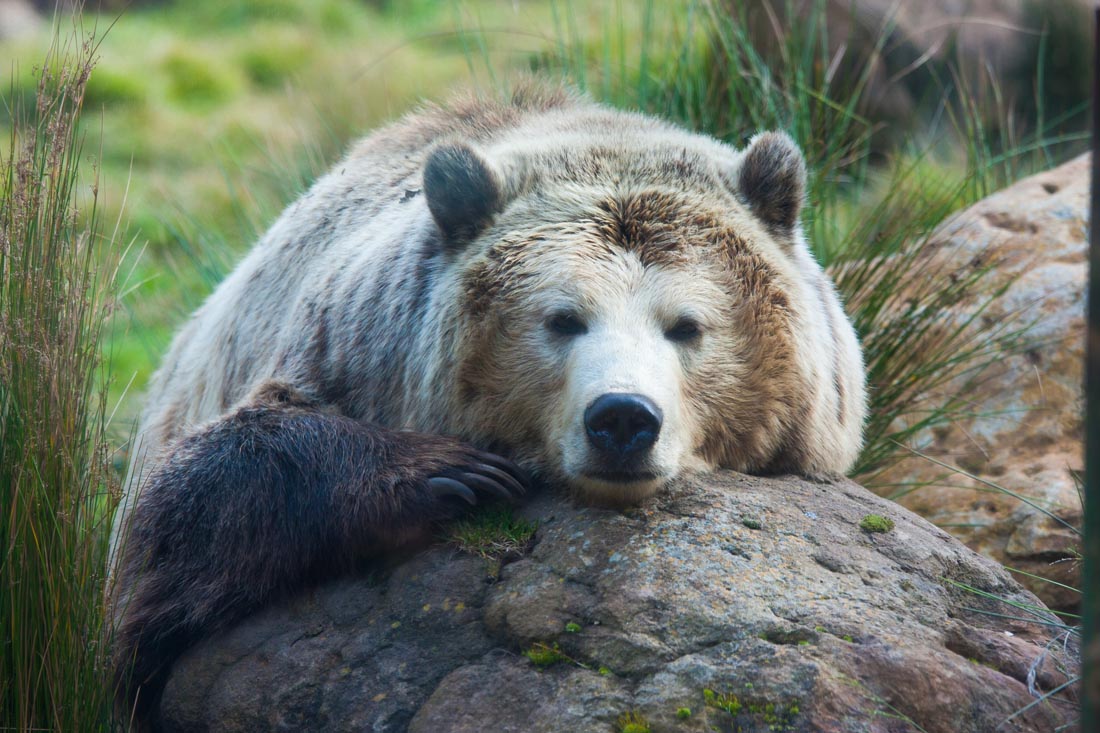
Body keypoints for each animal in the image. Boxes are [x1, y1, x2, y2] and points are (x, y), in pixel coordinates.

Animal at [111, 82, 866, 721]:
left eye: (686, 325)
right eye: (563, 319)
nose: (622, 418)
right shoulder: (336, 351)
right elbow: (181, 512)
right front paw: (450, 473)